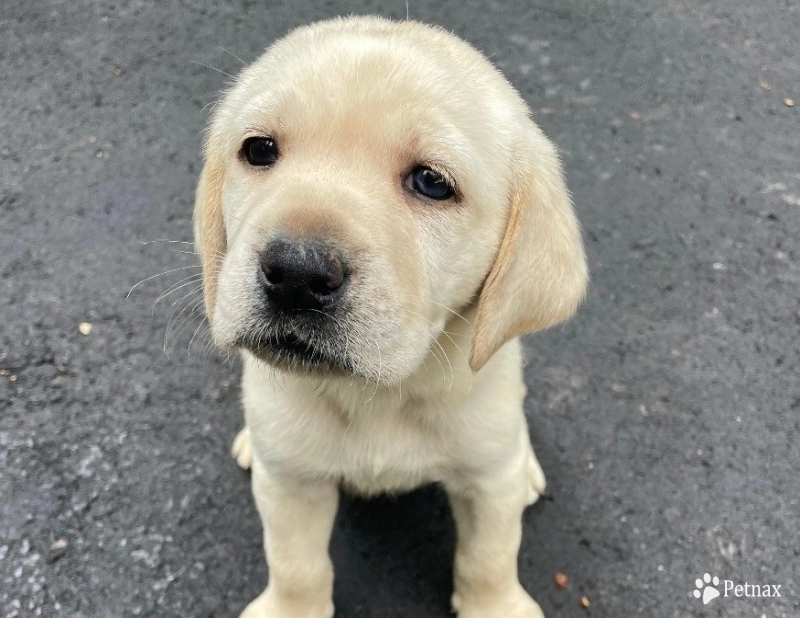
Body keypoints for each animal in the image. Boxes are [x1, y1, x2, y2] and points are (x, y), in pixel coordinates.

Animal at [191, 15, 584, 616]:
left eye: (432, 182)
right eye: (258, 150)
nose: (296, 272)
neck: (379, 394)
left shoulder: (488, 482)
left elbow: (490, 556)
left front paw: (495, 605)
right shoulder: (291, 485)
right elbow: (295, 564)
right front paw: (289, 608)